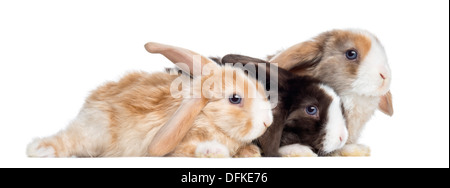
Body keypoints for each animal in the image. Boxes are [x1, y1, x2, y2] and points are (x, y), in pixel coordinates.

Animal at [26, 42, 272, 157]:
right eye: (235, 99)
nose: (267, 122)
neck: (208, 117)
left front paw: (250, 153)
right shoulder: (182, 144)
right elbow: (193, 148)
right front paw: (214, 152)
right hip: (95, 132)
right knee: (68, 140)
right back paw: (39, 149)